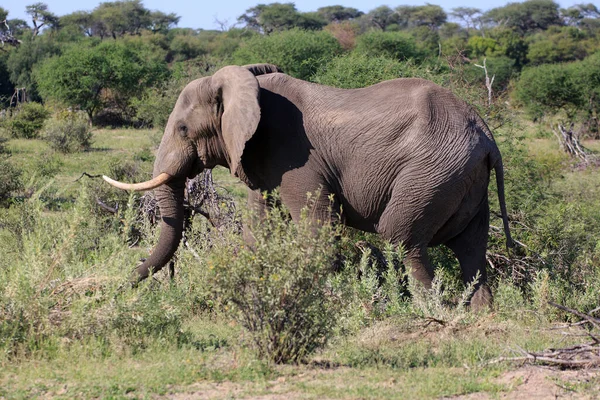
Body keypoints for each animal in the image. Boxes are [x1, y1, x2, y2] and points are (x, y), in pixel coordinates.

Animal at [102, 62, 510, 310]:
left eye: (183, 129)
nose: (116, 289)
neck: (245, 84)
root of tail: (487, 135)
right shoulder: (261, 158)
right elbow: (260, 231)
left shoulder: (295, 157)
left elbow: (319, 229)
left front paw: (326, 301)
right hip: (462, 177)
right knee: (471, 247)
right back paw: (481, 313)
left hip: (432, 171)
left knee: (403, 238)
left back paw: (427, 310)